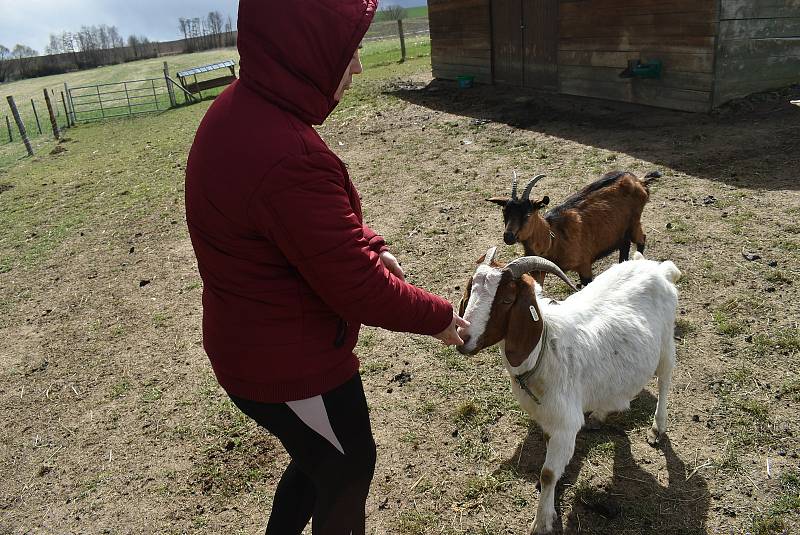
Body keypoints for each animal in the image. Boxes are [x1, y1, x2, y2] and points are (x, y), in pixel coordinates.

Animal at [456, 249, 680, 532]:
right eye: (470, 289)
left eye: (507, 299)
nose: (463, 338)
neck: (543, 350)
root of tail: (659, 269)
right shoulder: (547, 419)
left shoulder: (565, 424)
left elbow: (548, 473)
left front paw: (542, 522)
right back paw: (600, 415)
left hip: (666, 344)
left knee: (665, 380)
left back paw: (657, 428)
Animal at [488, 172, 656, 288]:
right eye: (504, 212)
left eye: (527, 214)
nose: (508, 236)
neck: (553, 238)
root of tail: (638, 180)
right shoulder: (538, 270)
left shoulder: (584, 265)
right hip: (620, 231)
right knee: (625, 245)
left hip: (634, 223)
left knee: (642, 238)